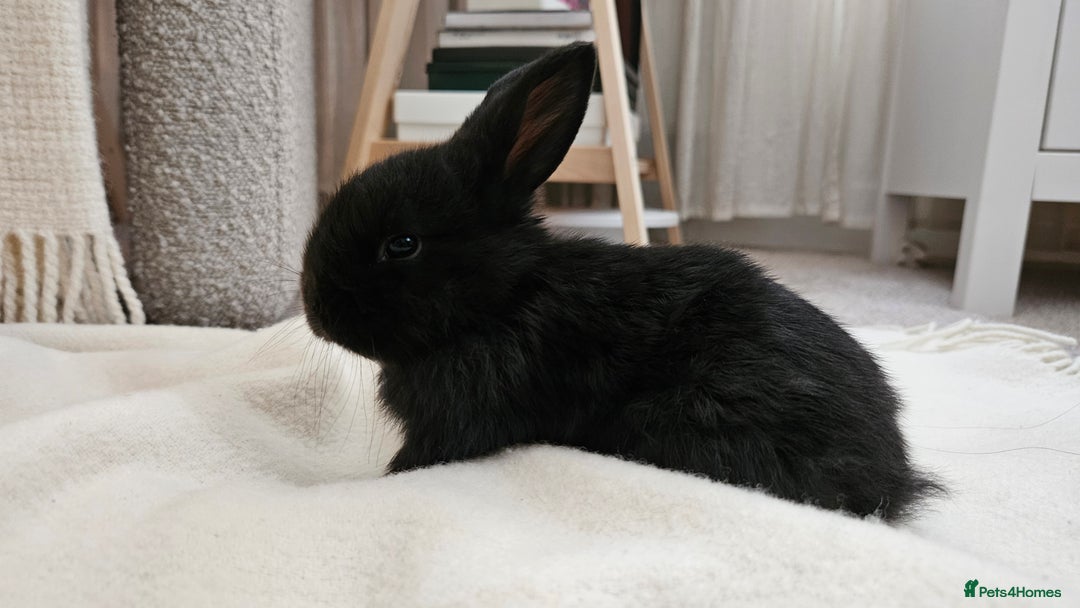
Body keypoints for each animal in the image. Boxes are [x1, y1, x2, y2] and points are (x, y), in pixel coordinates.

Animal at [301, 42, 942, 521]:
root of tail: (891, 471)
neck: (505, 299)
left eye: (402, 244)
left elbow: (424, 456)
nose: (314, 310)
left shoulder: (462, 419)